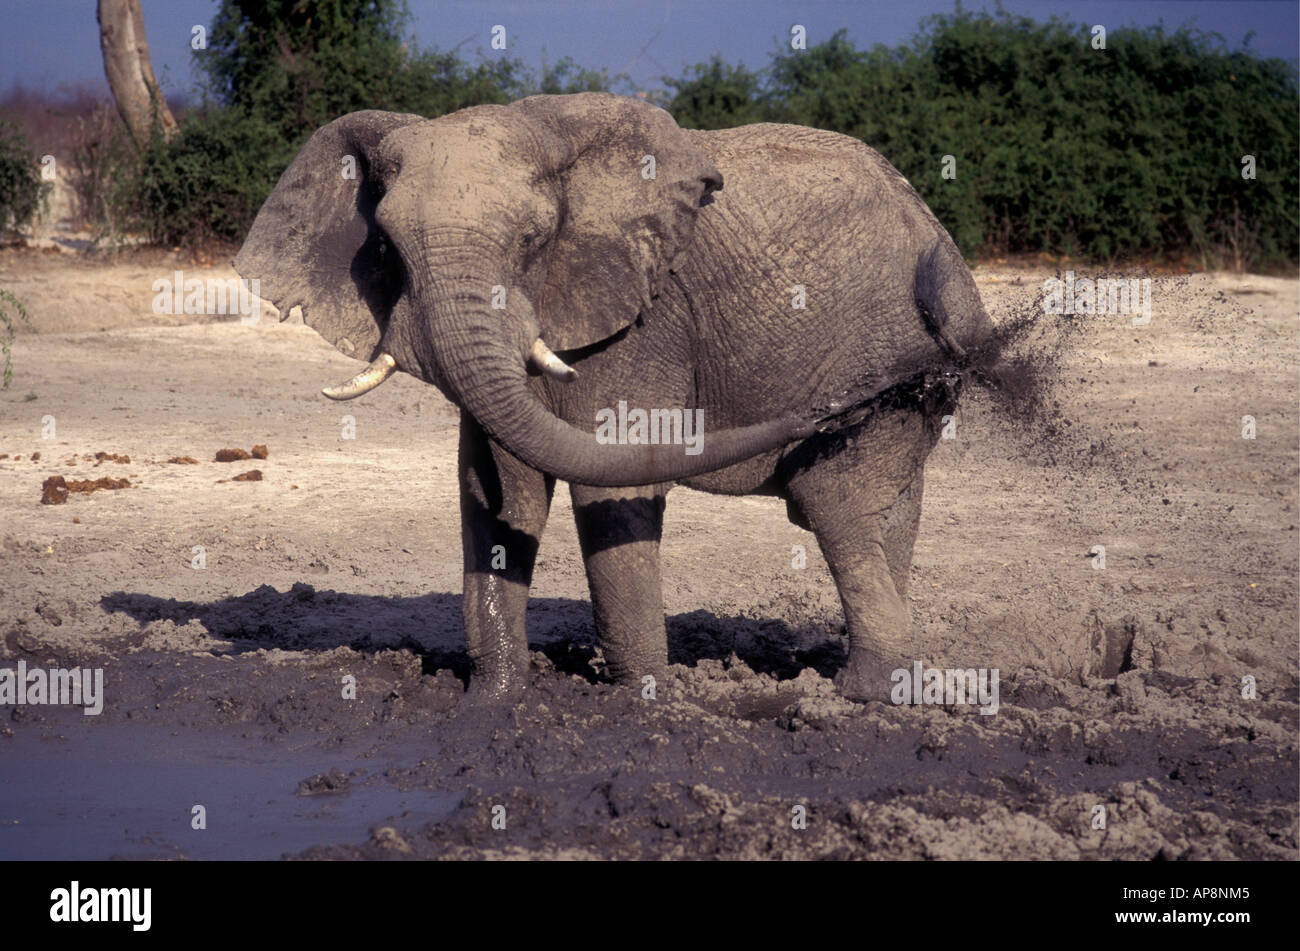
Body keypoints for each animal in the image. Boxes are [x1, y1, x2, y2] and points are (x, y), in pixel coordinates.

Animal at [233, 92, 993, 701]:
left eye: (534, 238)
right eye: (387, 245)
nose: (828, 408)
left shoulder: (645, 320)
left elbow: (611, 480)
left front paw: (645, 701)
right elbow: (498, 489)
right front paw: (493, 700)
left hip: (888, 342)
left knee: (836, 503)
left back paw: (861, 695)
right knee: (880, 509)